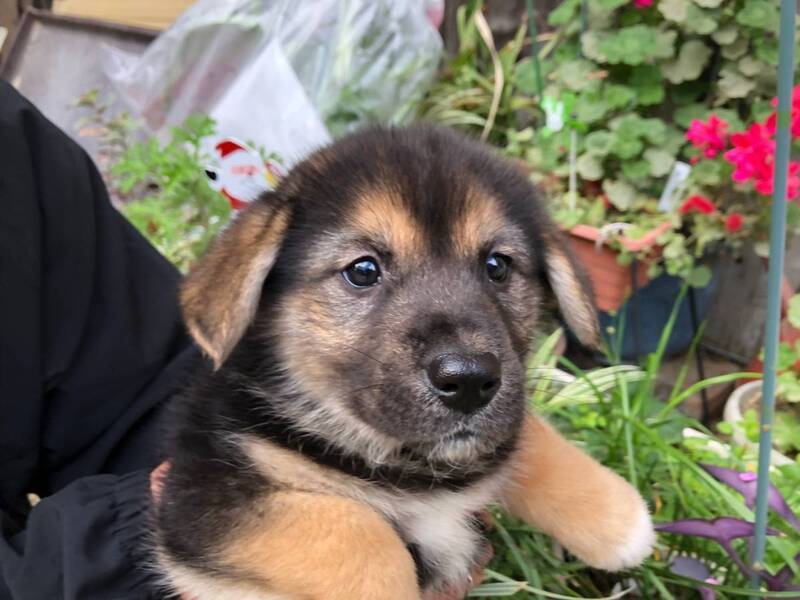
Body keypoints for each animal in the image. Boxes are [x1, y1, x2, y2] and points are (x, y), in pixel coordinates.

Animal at [154, 125, 655, 599]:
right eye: (362, 270)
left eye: (497, 265)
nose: (469, 382)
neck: (404, 465)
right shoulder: (202, 498)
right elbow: (362, 537)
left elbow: (528, 439)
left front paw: (620, 519)